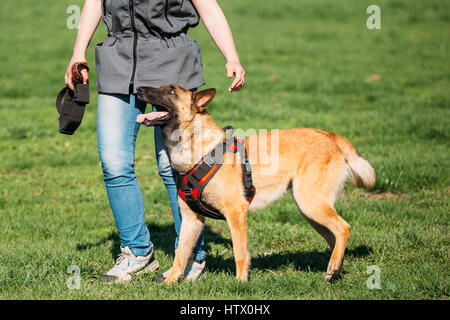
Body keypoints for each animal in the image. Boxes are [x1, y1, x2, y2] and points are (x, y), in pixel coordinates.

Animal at [135, 84, 374, 282]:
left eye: (171, 90)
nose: (138, 89)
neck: (198, 148)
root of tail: (331, 135)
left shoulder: (236, 213)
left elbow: (240, 253)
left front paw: (241, 283)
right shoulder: (191, 219)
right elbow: (180, 256)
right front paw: (169, 283)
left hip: (311, 204)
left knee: (343, 228)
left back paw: (333, 267)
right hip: (309, 210)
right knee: (334, 238)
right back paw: (334, 271)